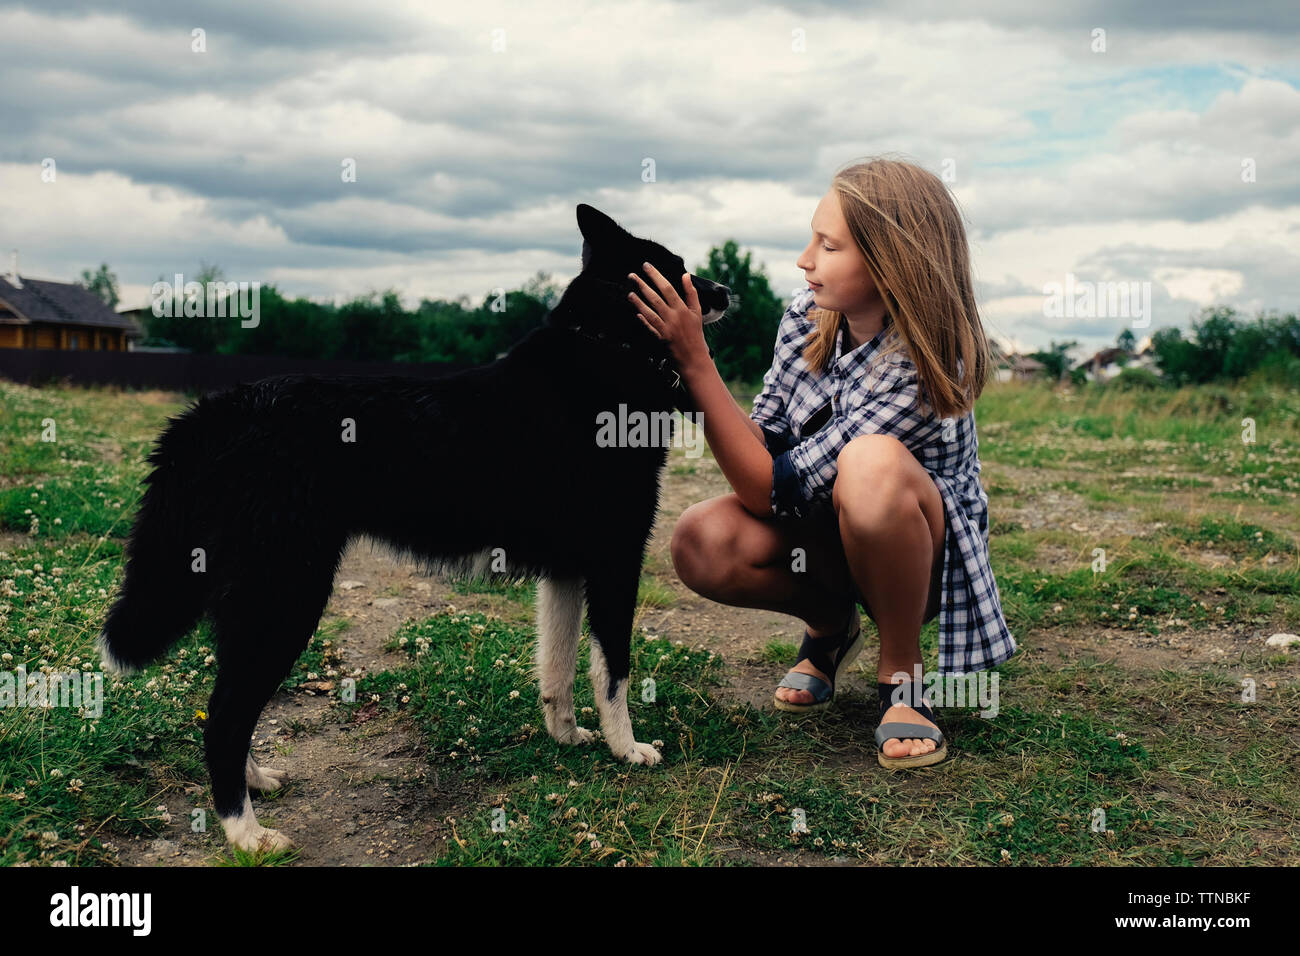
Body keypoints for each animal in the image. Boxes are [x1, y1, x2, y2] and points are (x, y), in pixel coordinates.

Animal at [101, 204, 733, 853]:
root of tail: (215, 413)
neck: (603, 347)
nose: (727, 293)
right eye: (677, 269)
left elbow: (558, 668)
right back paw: (245, 834)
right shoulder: (615, 562)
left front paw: (567, 738)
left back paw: (255, 787)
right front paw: (626, 749)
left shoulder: (565, 573)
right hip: (286, 595)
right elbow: (615, 672)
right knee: (226, 716)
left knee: (229, 707)